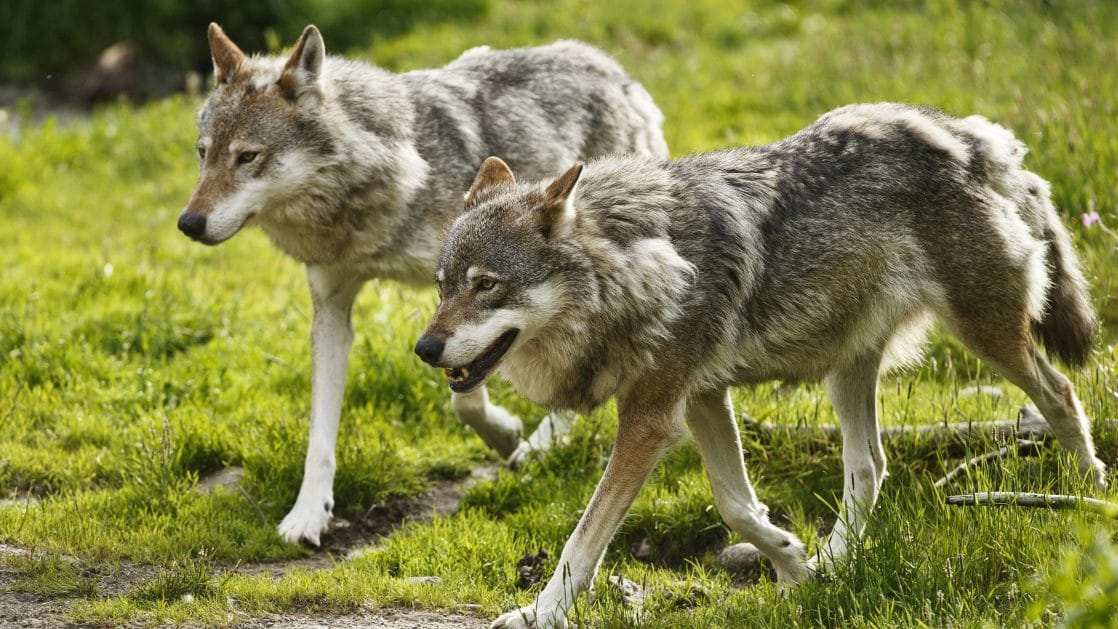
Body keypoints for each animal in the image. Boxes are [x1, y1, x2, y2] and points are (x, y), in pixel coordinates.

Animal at [178, 23, 666, 547]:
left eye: (248, 157)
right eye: (203, 154)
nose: (188, 223)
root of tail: (605, 63)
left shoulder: (471, 300)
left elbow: (465, 395)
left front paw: (506, 433)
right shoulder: (332, 310)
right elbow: (320, 430)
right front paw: (308, 513)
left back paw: (539, 446)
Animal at [415, 101, 1104, 625]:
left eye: (486, 285)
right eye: (442, 286)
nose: (424, 349)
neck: (639, 263)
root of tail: (971, 135)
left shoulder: (649, 418)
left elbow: (582, 541)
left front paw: (539, 613)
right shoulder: (699, 399)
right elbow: (736, 507)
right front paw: (796, 565)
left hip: (988, 337)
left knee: (1063, 395)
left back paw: (1092, 493)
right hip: (847, 368)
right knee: (870, 465)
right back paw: (836, 562)